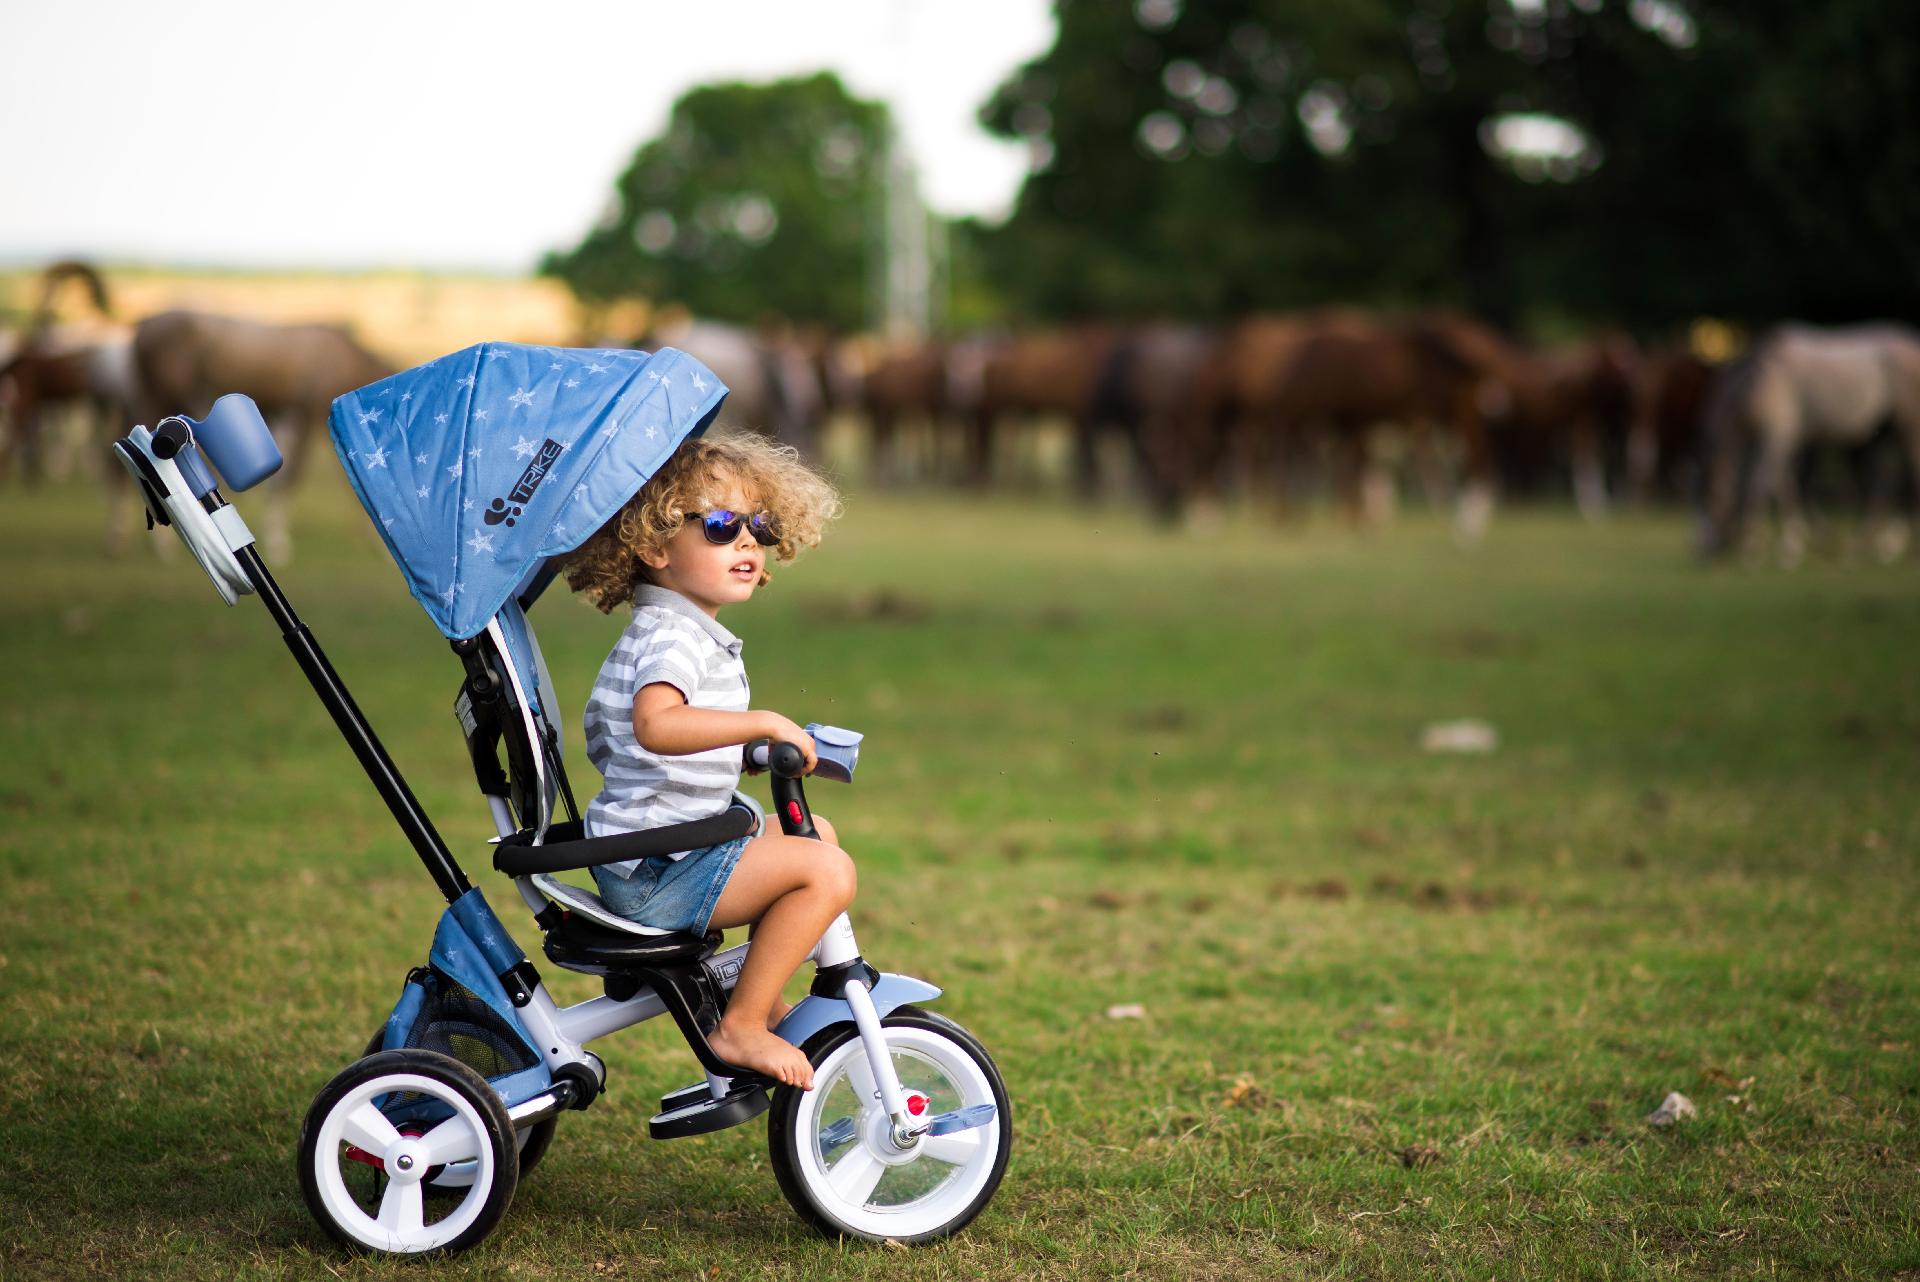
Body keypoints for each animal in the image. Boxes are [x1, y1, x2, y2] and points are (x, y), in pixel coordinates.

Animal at [1697, 326, 1920, 560]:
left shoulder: (1776, 434)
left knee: (1908, 474)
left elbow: (1760, 484)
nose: (1700, 552)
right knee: (1878, 484)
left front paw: (1755, 545)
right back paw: (1864, 540)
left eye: (1709, 502)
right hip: (1875, 436)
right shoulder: (1781, 440)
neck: (1752, 381)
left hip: (1908, 425)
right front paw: (1794, 538)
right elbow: (1785, 485)